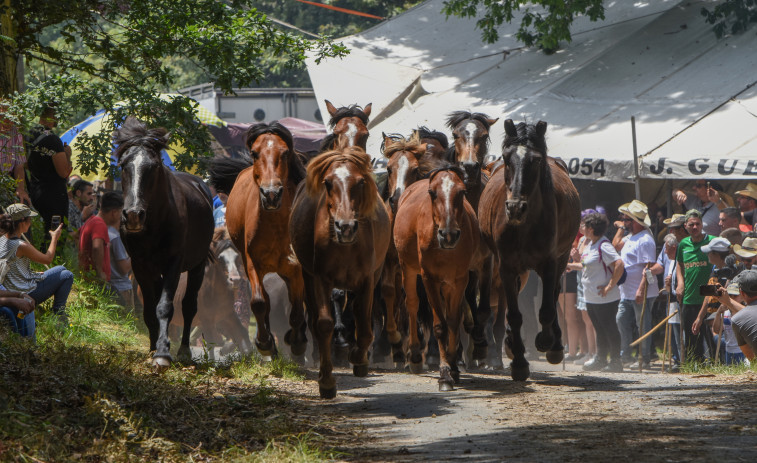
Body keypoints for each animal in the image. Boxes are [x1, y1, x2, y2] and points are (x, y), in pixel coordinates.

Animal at [116, 117, 216, 374]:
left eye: (153, 167)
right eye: (124, 165)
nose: (133, 216)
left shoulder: (174, 263)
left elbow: (165, 306)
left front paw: (162, 354)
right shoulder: (140, 265)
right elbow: (150, 309)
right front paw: (154, 348)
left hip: (197, 266)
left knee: (189, 305)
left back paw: (184, 350)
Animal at [207, 121, 308, 360]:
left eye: (285, 152)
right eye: (254, 153)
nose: (271, 194)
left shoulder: (295, 266)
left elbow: (297, 306)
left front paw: (297, 341)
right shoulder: (252, 263)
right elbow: (260, 303)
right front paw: (264, 342)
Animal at [290, 148, 390, 398]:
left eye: (361, 182)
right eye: (327, 183)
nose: (345, 227)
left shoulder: (367, 279)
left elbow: (363, 322)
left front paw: (359, 358)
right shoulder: (319, 279)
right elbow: (324, 324)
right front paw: (326, 381)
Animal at [392, 167, 476, 392]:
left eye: (462, 192)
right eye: (432, 193)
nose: (448, 234)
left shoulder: (459, 280)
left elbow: (453, 321)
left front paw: (453, 367)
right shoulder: (429, 278)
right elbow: (440, 326)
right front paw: (445, 374)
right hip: (407, 268)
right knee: (412, 304)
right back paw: (414, 355)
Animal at [484, 119, 580, 380]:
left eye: (536, 160)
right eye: (507, 158)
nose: (515, 207)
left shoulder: (549, 264)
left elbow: (547, 308)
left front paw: (548, 342)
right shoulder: (506, 267)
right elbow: (515, 315)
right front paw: (518, 361)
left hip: (562, 257)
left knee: (554, 294)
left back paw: (554, 343)